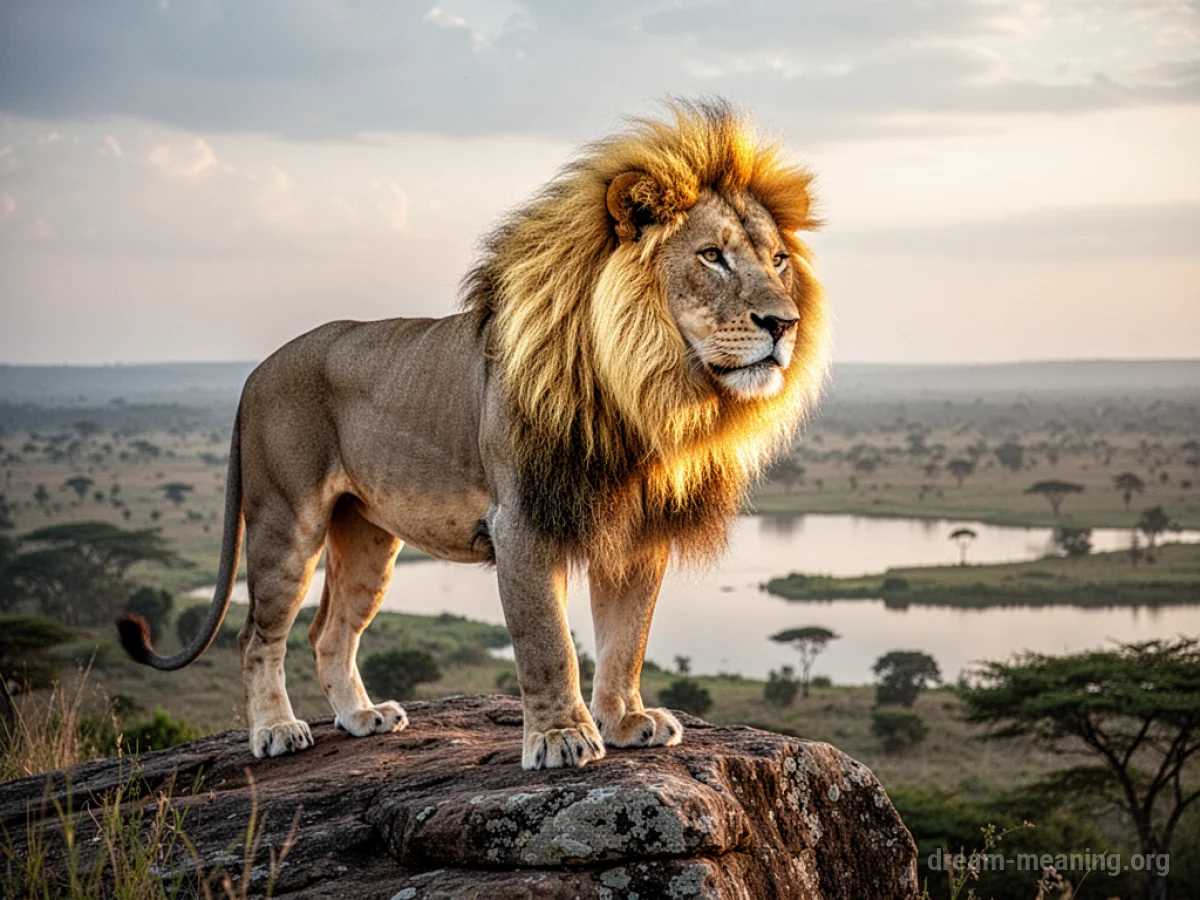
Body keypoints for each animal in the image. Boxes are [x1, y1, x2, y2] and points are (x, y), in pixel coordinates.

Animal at [118, 100, 829, 770]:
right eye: (712, 256)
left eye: (778, 260)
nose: (784, 324)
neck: (641, 393)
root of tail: (255, 372)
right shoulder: (523, 524)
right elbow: (549, 645)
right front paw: (562, 737)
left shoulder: (635, 532)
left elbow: (627, 639)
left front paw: (627, 722)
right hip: (285, 522)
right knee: (256, 635)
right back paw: (275, 731)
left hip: (368, 536)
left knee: (329, 632)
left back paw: (362, 718)